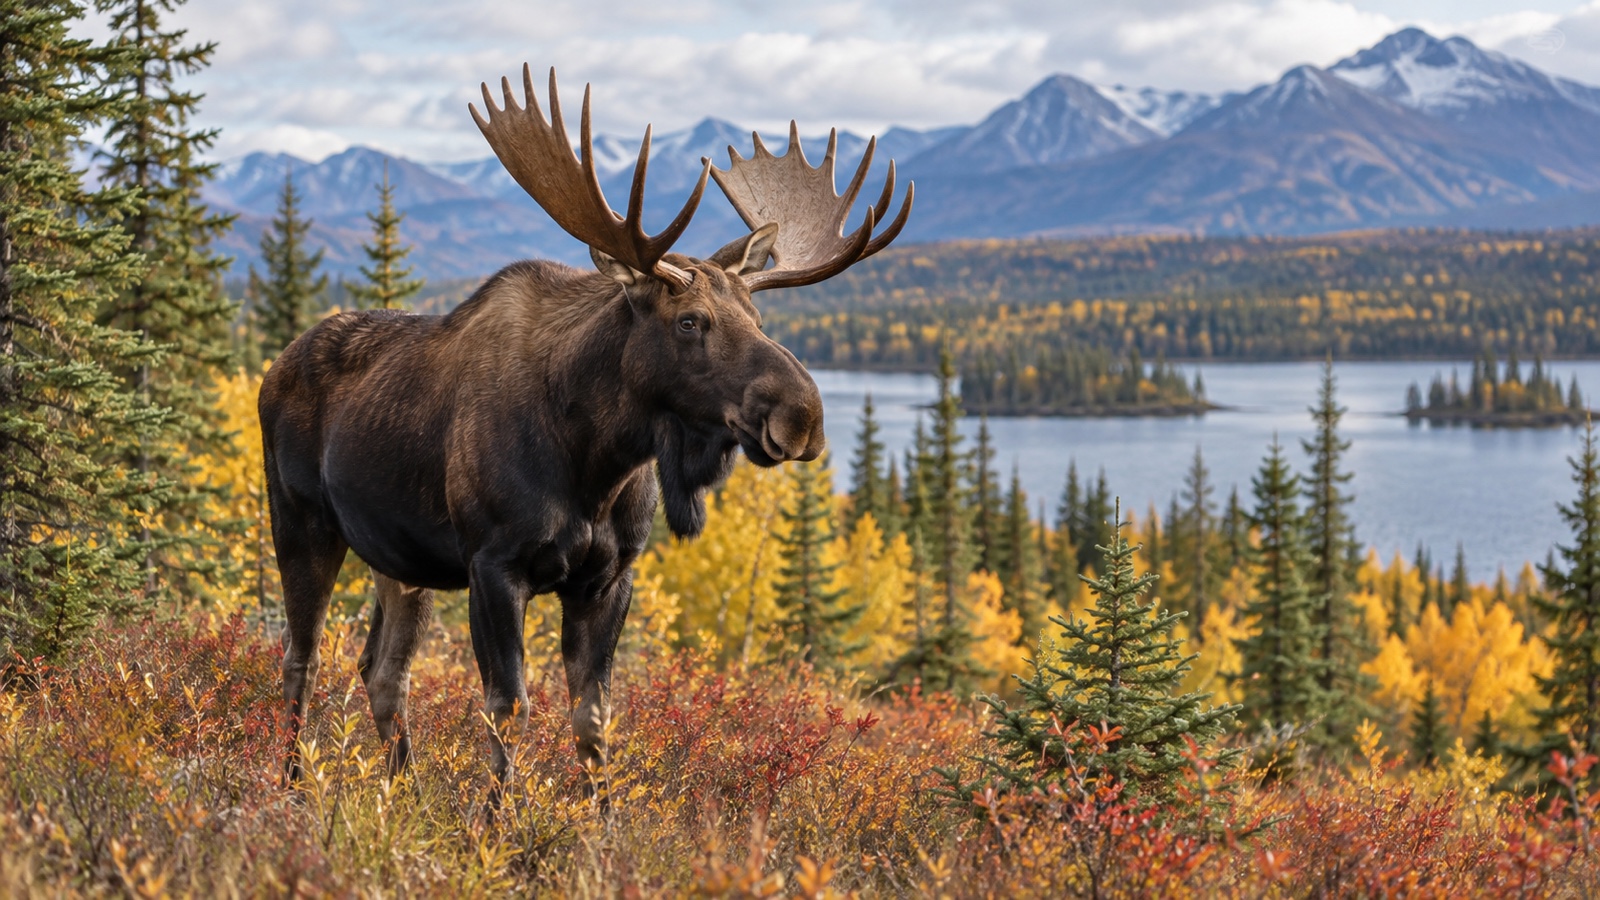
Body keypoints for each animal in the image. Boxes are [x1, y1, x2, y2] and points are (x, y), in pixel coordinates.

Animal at [258, 65, 912, 799]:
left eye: (757, 315)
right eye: (690, 321)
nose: (802, 415)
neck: (596, 463)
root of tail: (273, 368)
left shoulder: (609, 577)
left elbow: (593, 722)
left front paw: (598, 824)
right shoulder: (494, 565)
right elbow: (507, 709)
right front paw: (495, 823)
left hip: (401, 561)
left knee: (380, 670)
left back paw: (405, 796)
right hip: (302, 522)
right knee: (302, 658)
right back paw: (289, 788)